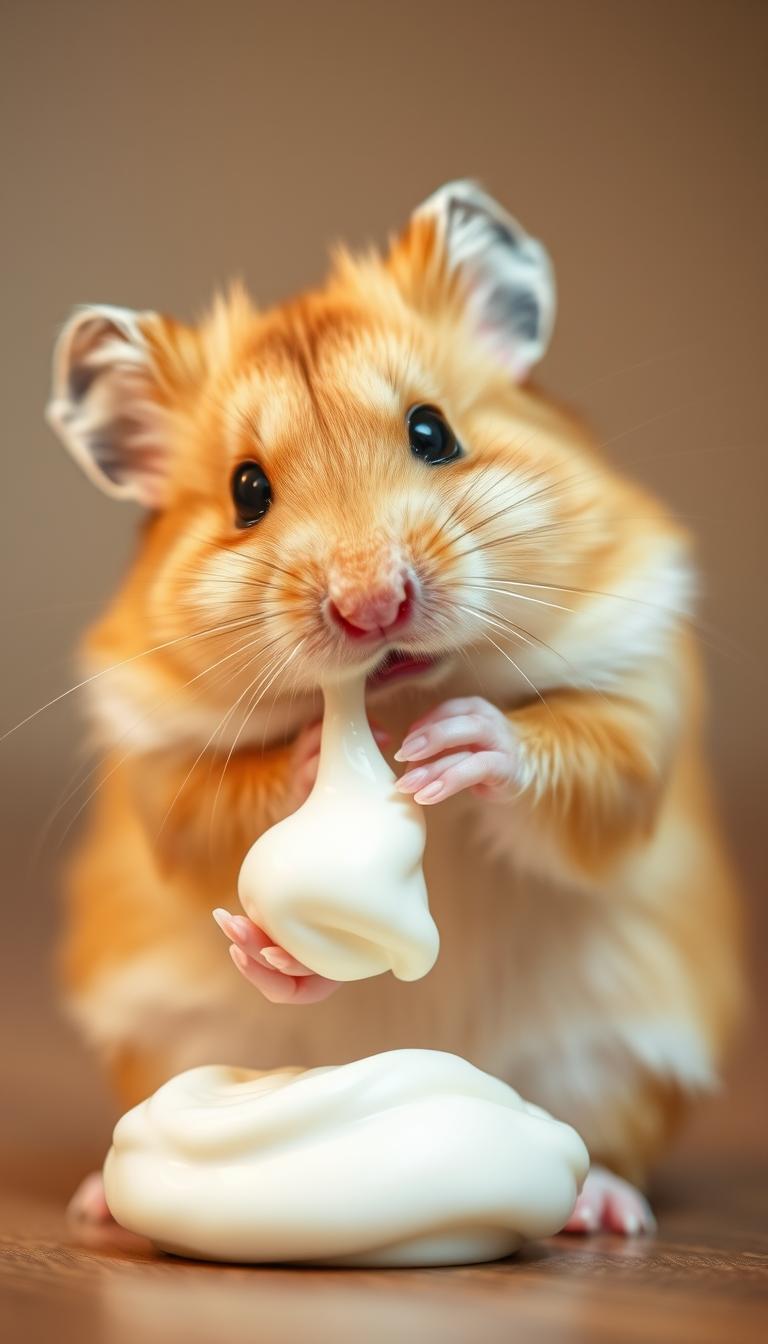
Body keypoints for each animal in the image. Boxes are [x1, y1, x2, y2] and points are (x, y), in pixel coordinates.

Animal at [48, 181, 743, 1233]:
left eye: (432, 432)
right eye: (245, 490)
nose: (371, 606)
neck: (411, 685)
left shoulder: (639, 695)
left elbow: (585, 767)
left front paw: (448, 749)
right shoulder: (158, 767)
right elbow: (211, 812)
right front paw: (314, 772)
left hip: (614, 1061)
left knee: (603, 1145)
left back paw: (604, 1211)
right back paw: (96, 1201)